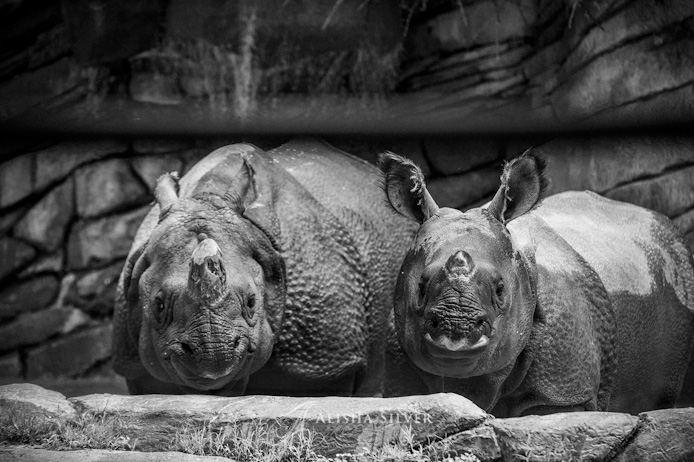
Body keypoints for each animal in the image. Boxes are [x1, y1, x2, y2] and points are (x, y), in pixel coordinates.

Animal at [115, 139, 418, 396]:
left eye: (251, 302)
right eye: (158, 306)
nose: (212, 355)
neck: (207, 196)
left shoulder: (325, 363)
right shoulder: (135, 366)